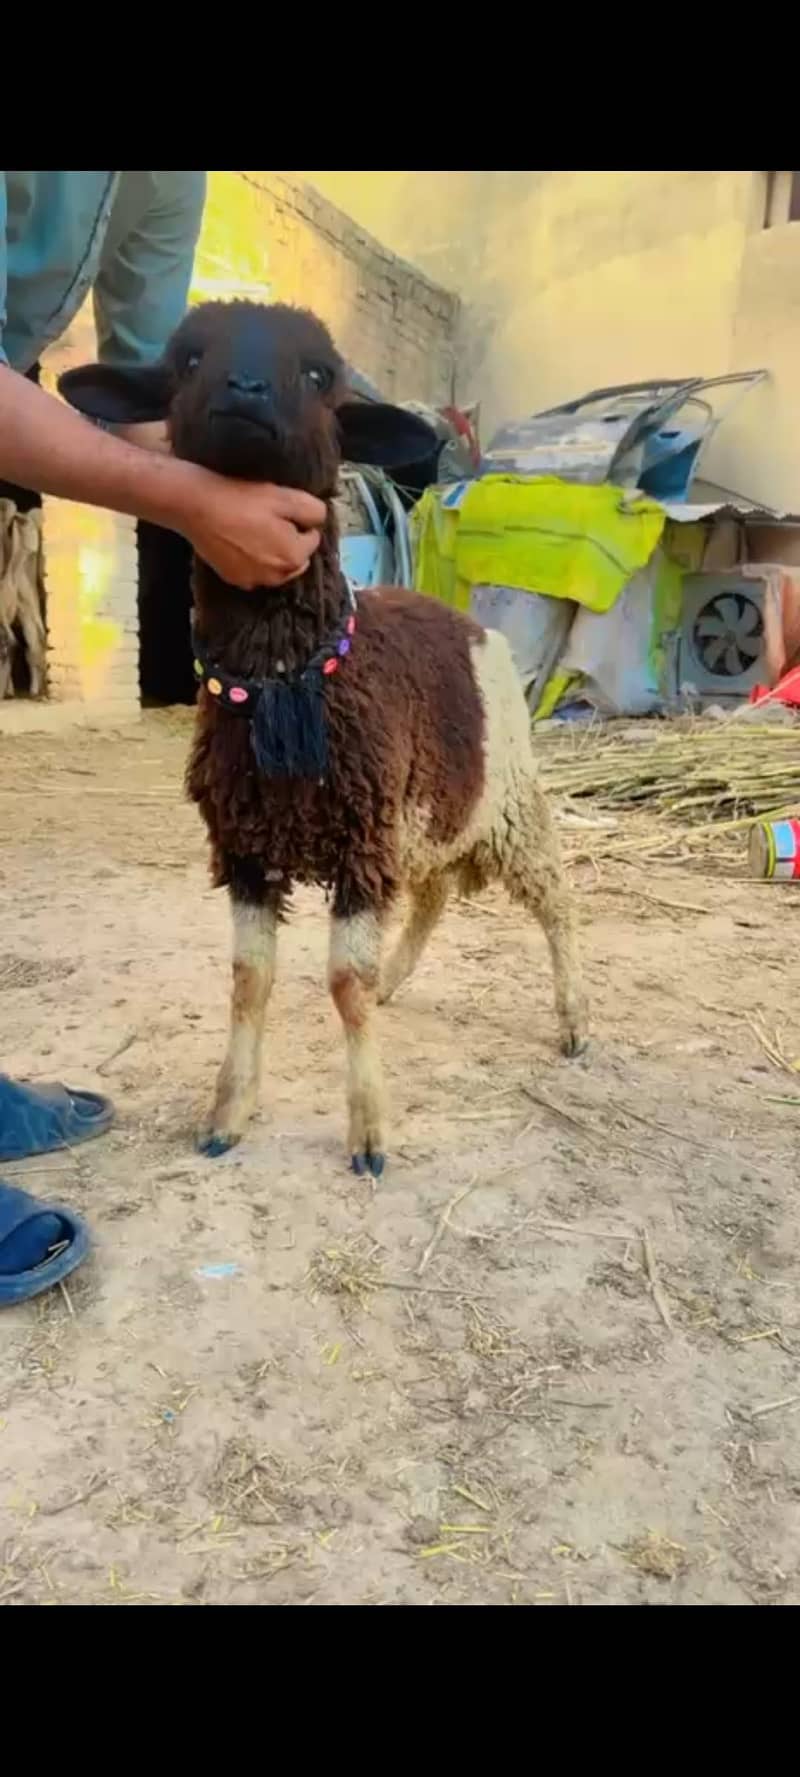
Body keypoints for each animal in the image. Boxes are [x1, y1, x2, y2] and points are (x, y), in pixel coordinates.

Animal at [59, 301, 588, 1175]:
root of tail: (463, 620)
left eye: (318, 376)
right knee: (433, 892)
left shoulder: (360, 841)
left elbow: (343, 983)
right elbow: (249, 978)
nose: (243, 388)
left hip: (507, 799)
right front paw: (228, 1113)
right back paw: (401, 979)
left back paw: (576, 1018)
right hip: (423, 816)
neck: (286, 682)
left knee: (554, 900)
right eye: (189, 360)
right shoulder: (245, 845)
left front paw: (369, 1133)